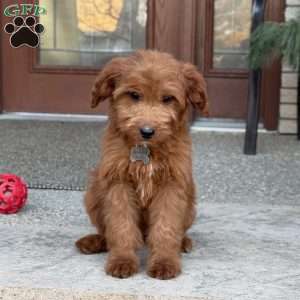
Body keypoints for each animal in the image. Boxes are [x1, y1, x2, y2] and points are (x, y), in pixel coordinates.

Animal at [75, 49, 209, 278]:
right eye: (134, 95)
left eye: (168, 98)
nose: (147, 131)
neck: (147, 149)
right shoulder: (118, 182)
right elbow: (121, 225)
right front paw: (122, 260)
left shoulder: (172, 184)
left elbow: (166, 227)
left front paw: (165, 261)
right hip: (93, 192)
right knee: (106, 231)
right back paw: (95, 241)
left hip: (190, 204)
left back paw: (183, 242)